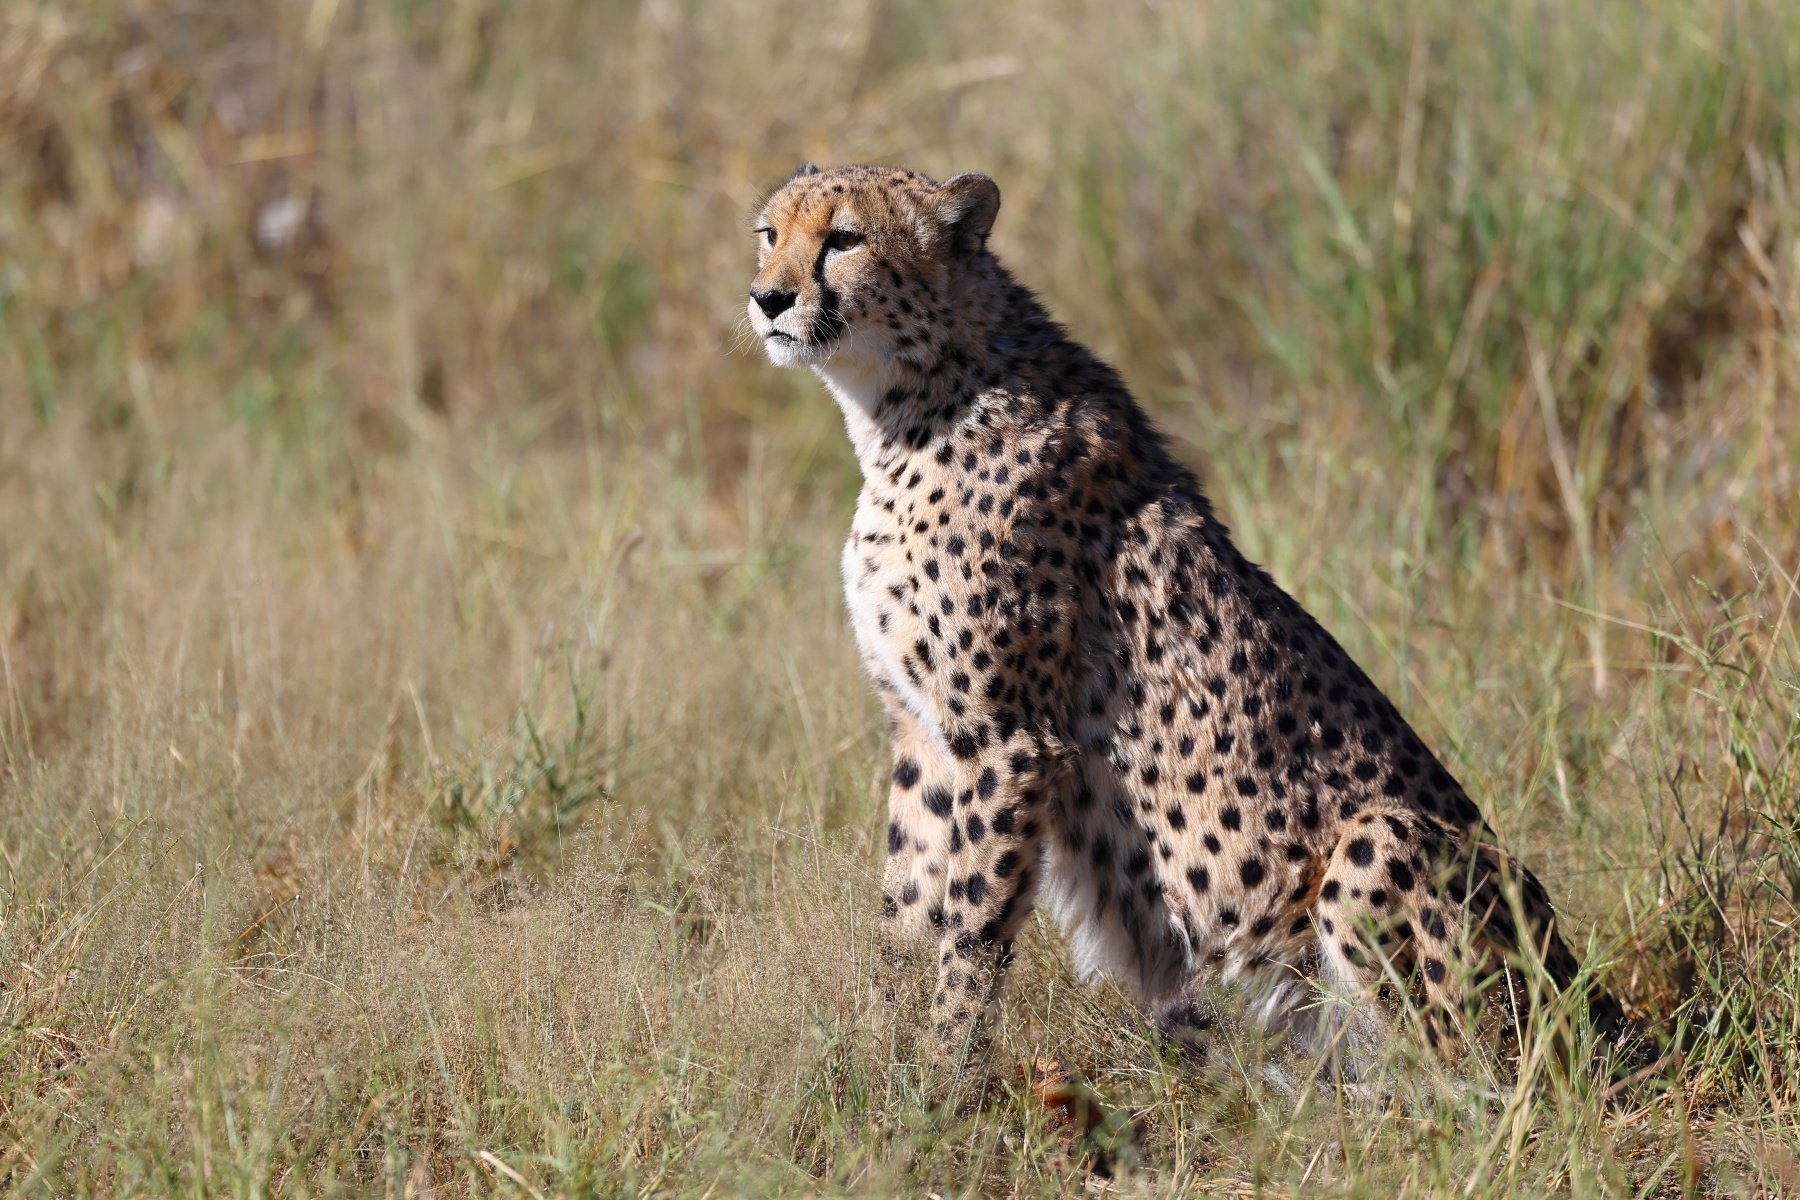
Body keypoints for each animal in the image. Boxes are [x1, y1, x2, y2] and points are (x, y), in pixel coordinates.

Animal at [744, 161, 1633, 1080]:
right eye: (769, 235)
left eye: (844, 239)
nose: (768, 298)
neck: (914, 397)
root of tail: (1591, 997)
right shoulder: (923, 731)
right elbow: (907, 910)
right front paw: (879, 1063)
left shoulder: (1008, 738)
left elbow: (973, 927)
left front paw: (944, 1076)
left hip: (1382, 844)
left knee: (1471, 1077)